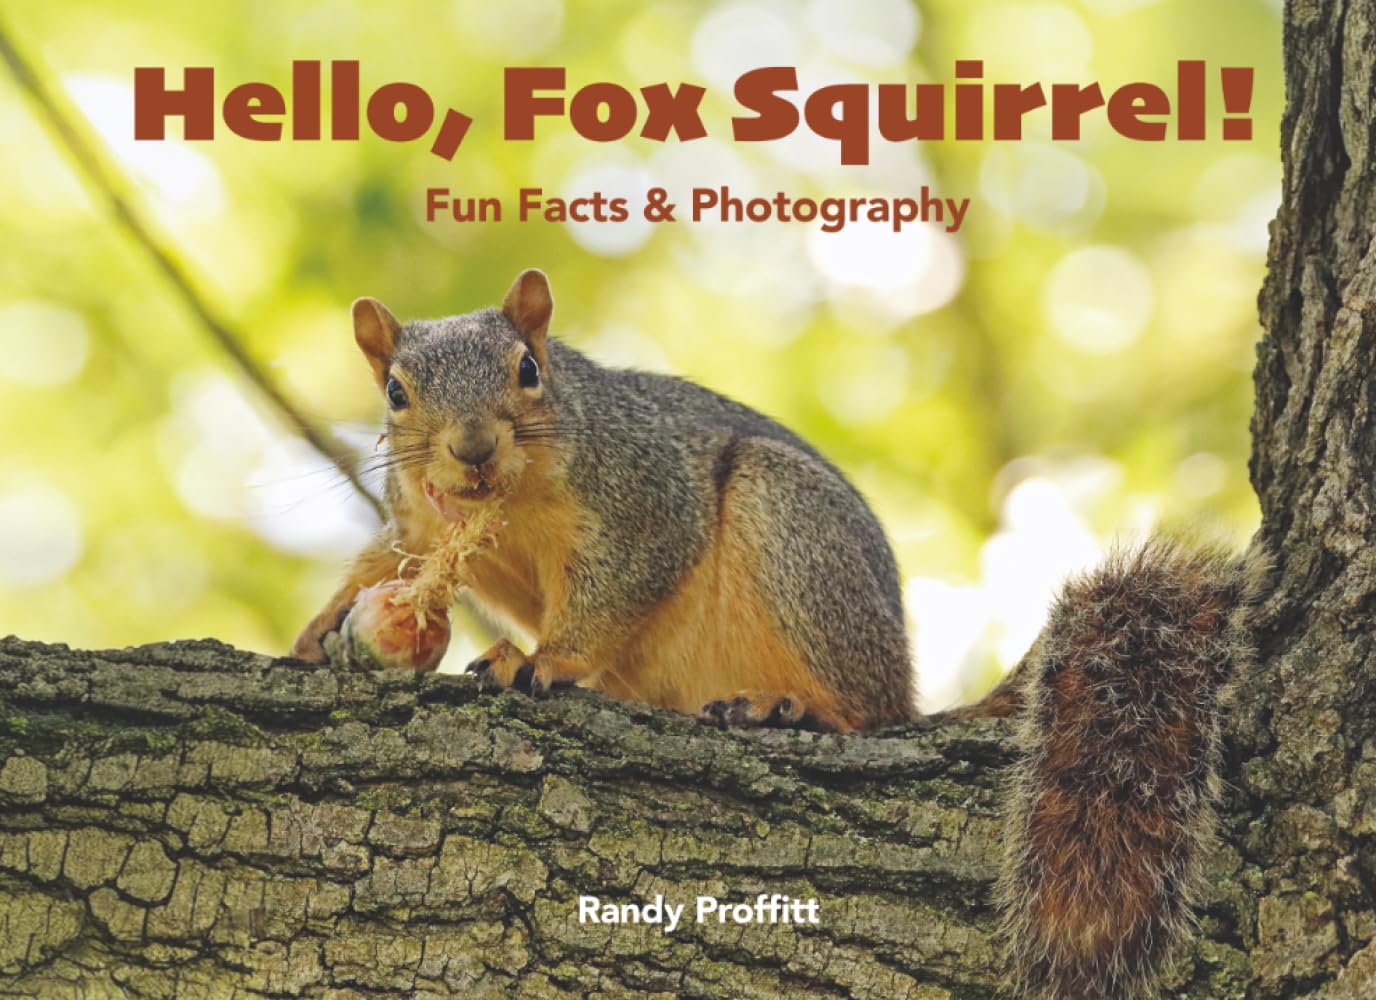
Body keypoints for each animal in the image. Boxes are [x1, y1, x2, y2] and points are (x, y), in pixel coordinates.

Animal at [292, 270, 1265, 999]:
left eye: (528, 370)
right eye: (395, 392)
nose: (472, 448)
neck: (509, 505)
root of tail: (902, 689)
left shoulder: (647, 498)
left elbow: (618, 587)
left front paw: (542, 658)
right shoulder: (421, 525)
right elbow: (390, 561)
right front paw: (327, 627)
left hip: (785, 522)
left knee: (865, 719)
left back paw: (787, 709)